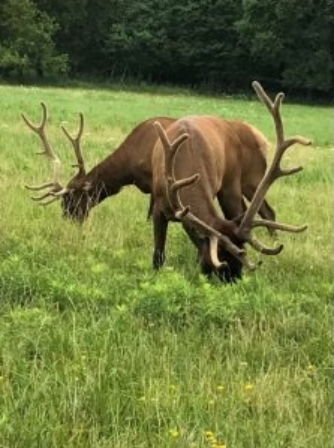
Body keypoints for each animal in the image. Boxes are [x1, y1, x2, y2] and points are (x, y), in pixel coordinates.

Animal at [151, 81, 310, 280]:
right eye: (220, 259)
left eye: (243, 252)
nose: (234, 279)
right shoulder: (158, 206)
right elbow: (158, 254)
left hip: (238, 180)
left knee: (261, 210)